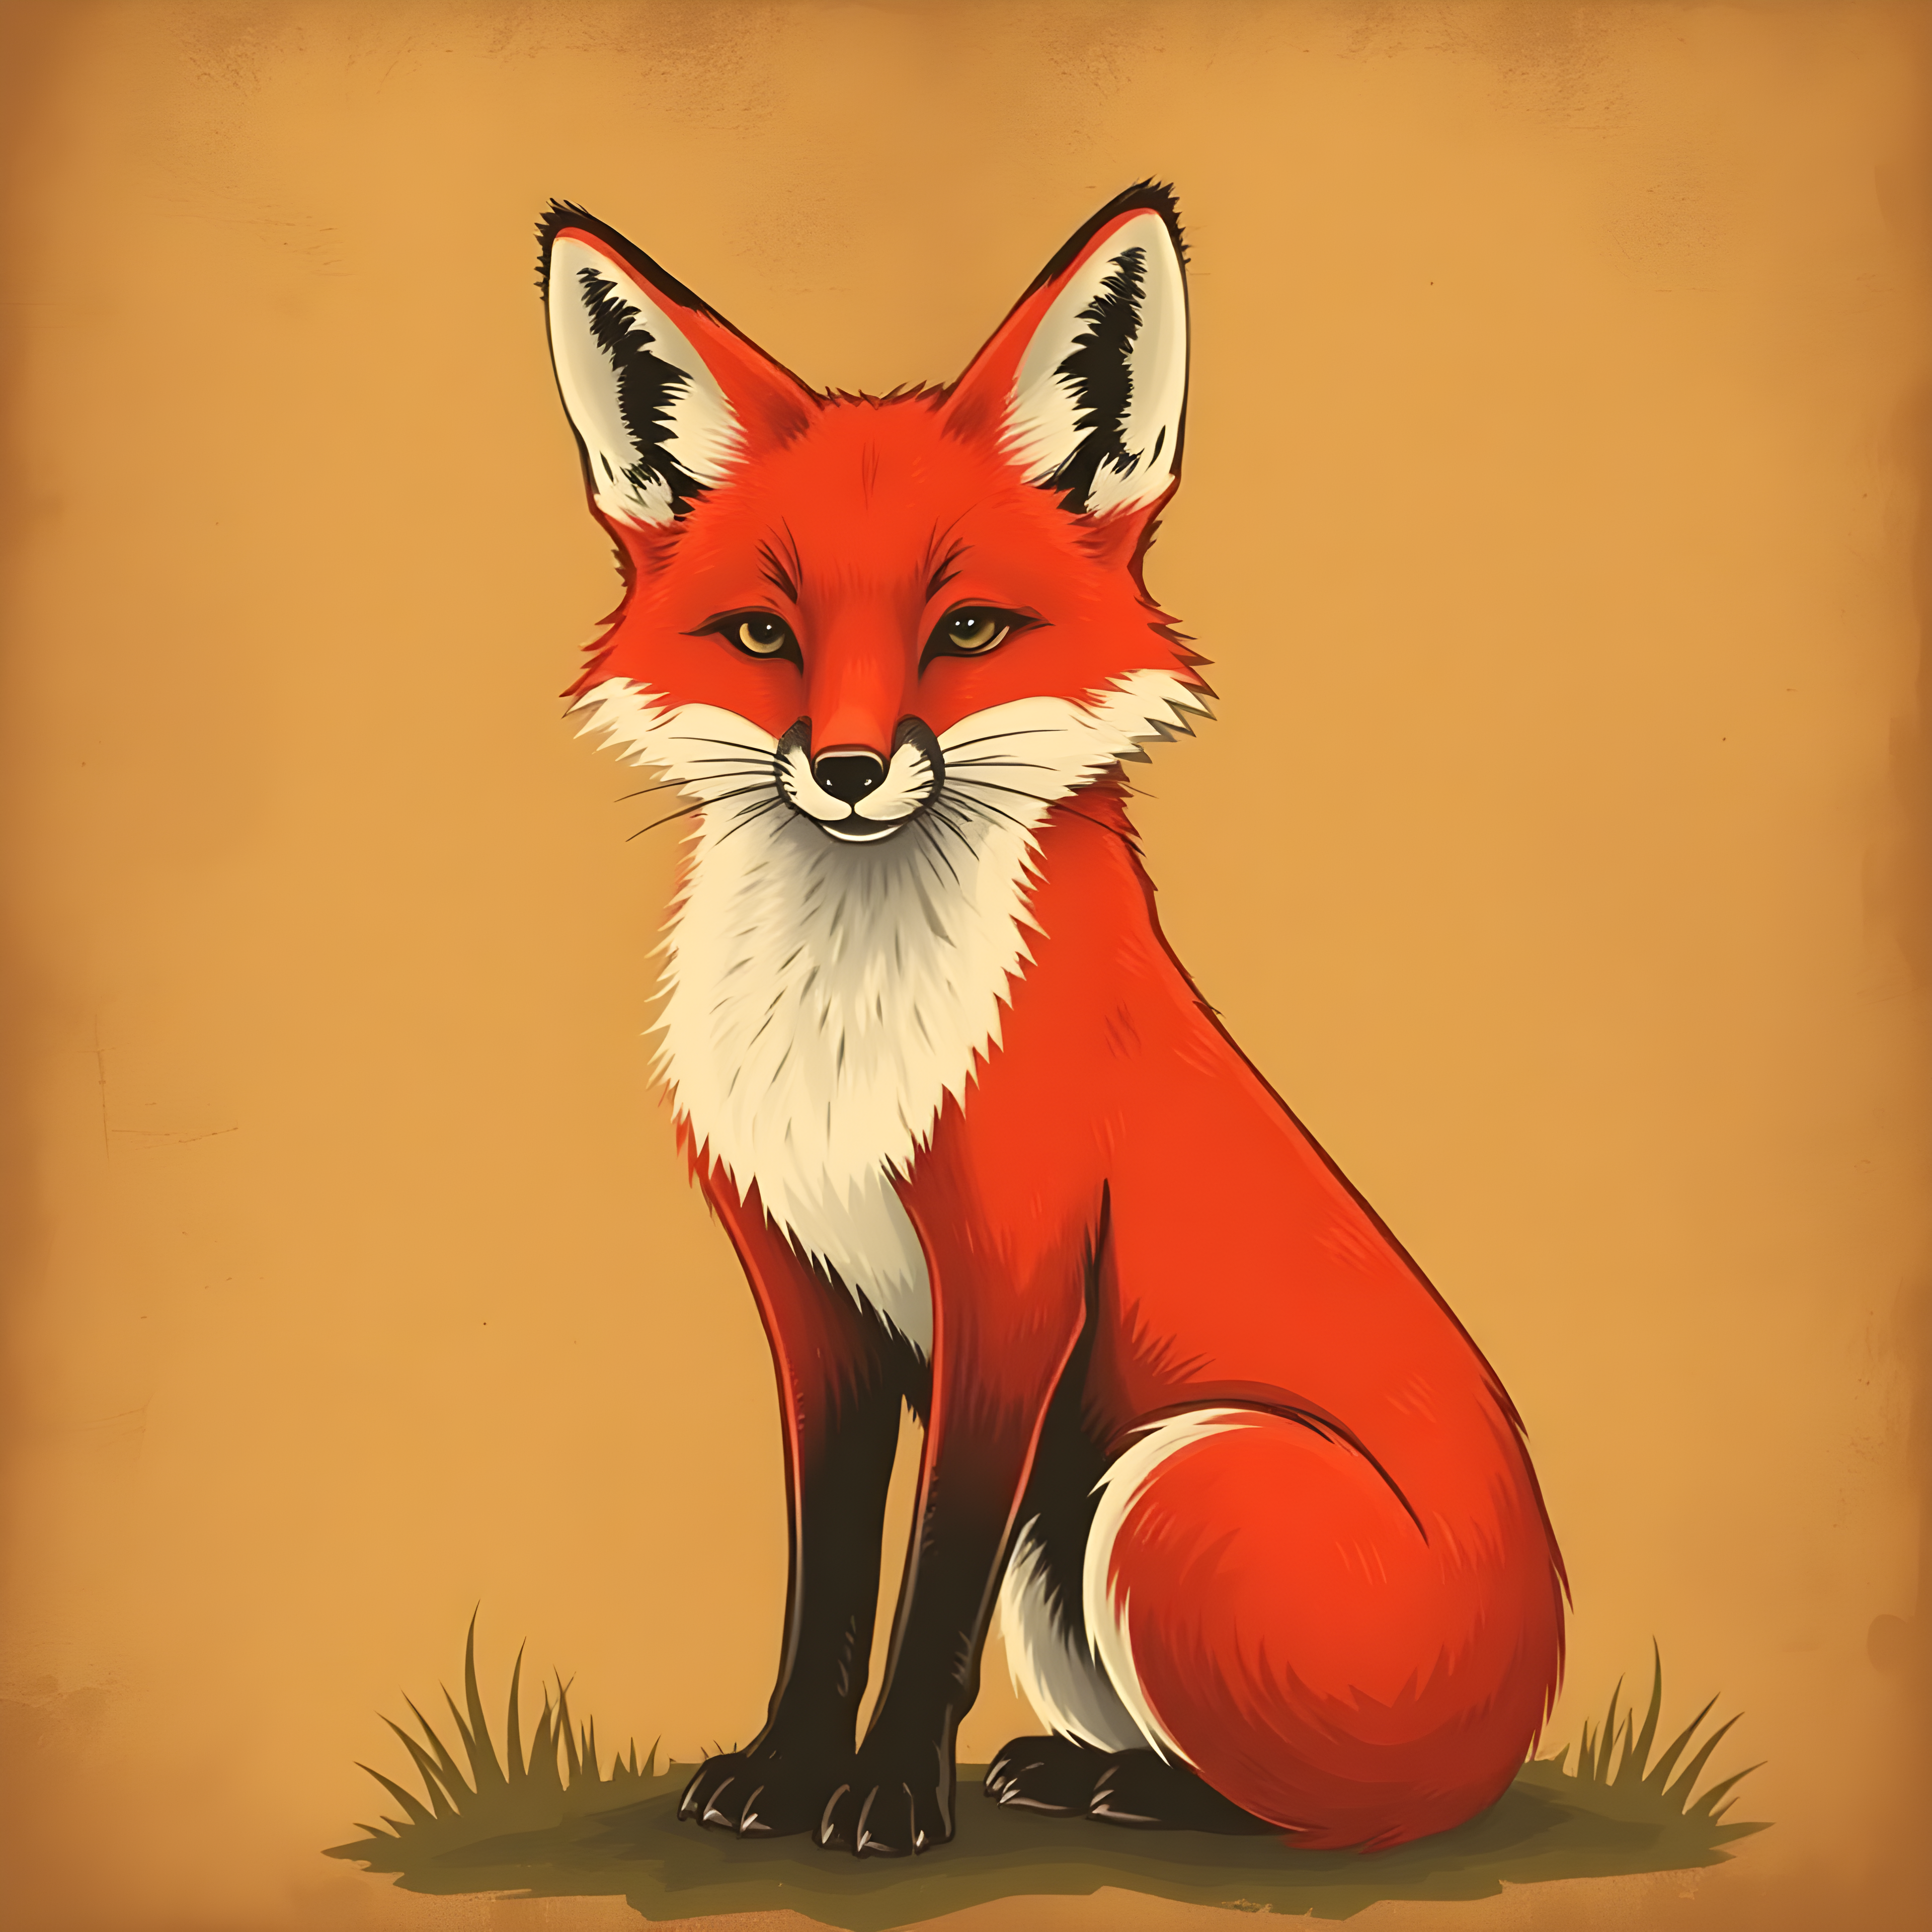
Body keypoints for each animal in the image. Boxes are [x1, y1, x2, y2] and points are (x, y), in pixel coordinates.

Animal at [535, 184, 1567, 1860]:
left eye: (966, 631)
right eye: (762, 636)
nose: (845, 770)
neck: (845, 1054)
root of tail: (1524, 1706)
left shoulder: (1012, 1281)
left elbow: (930, 1588)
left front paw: (887, 1794)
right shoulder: (810, 1298)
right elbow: (829, 1583)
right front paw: (785, 1769)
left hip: (1166, 1487)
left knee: (1318, 1812)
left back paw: (1133, 1789)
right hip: (1071, 1550)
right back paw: (1087, 1772)